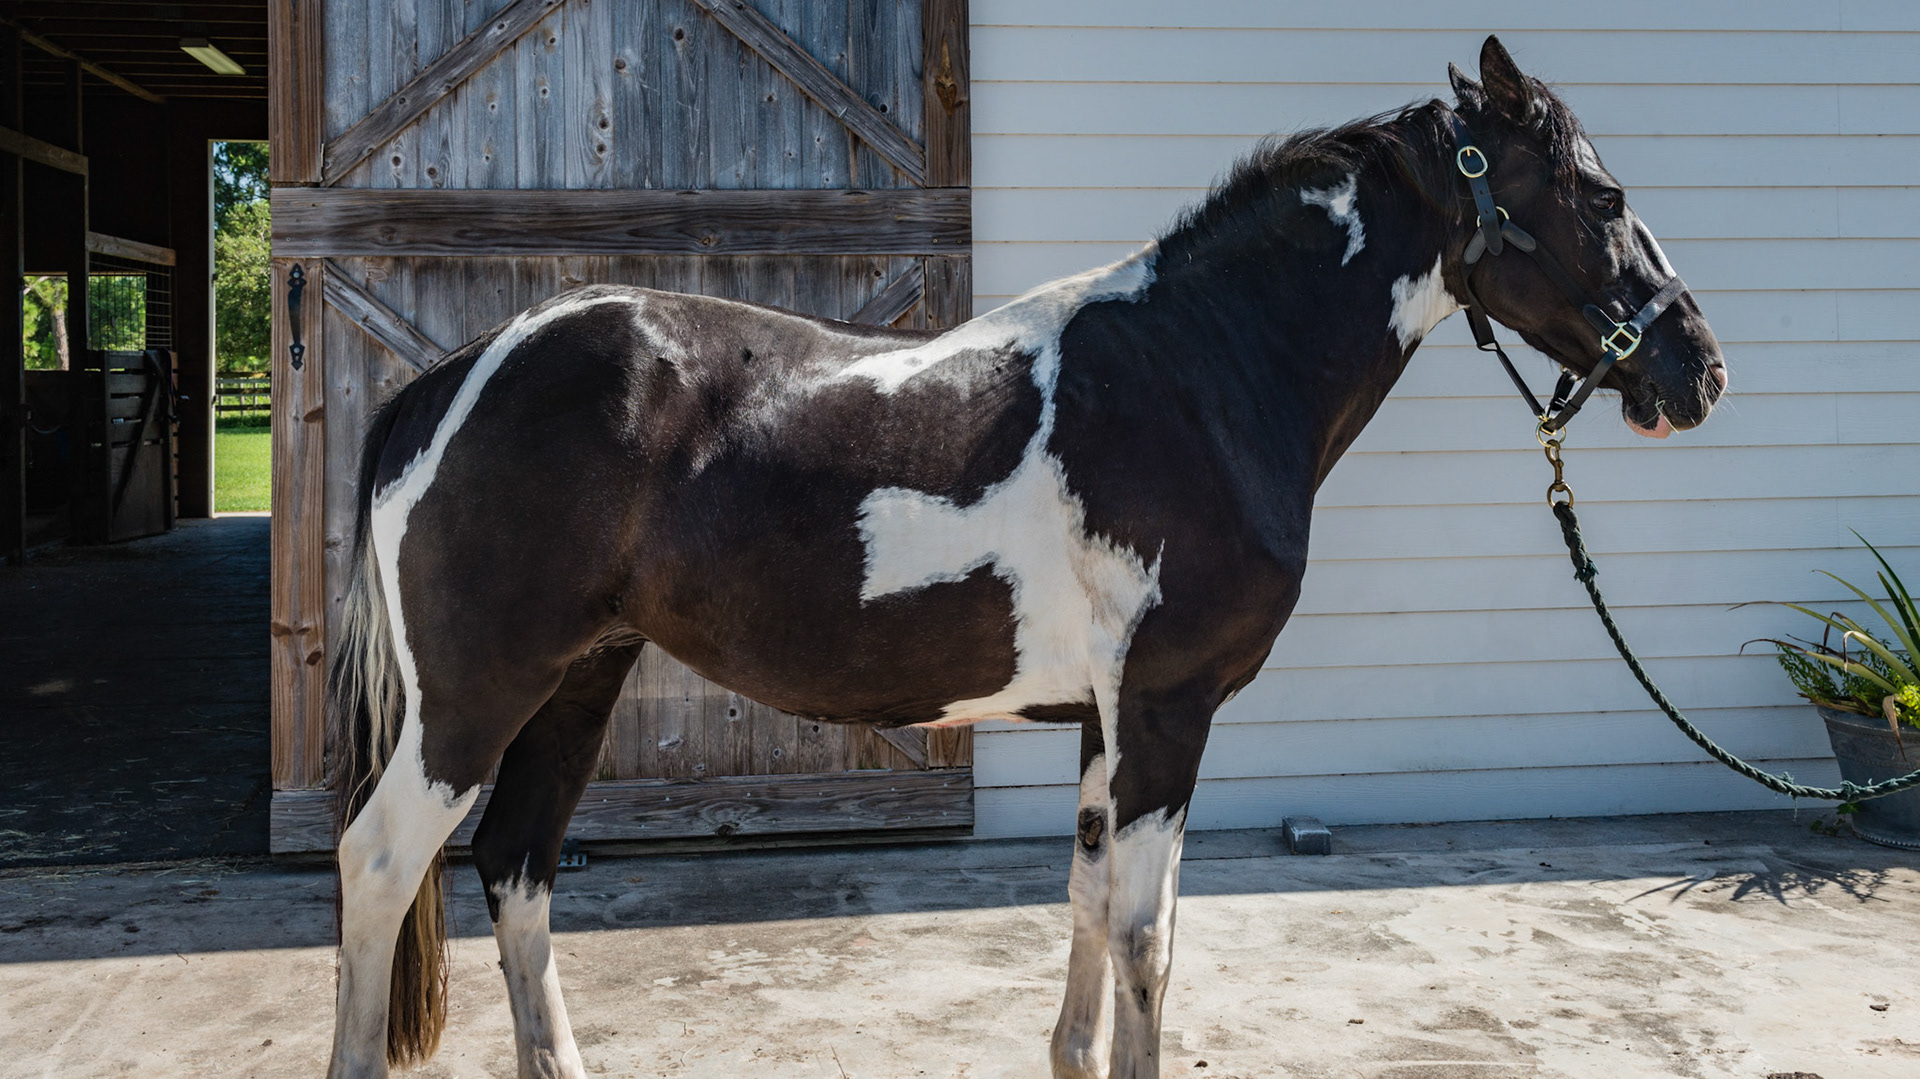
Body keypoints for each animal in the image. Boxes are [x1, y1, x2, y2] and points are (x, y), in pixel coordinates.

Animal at [324, 36, 1727, 1079]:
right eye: (1602, 199)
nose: (1697, 367)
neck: (1202, 375)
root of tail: (457, 374)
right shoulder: (1165, 711)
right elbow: (1153, 940)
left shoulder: (1105, 721)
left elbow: (1090, 907)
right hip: (474, 699)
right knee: (380, 864)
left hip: (580, 681)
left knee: (517, 870)